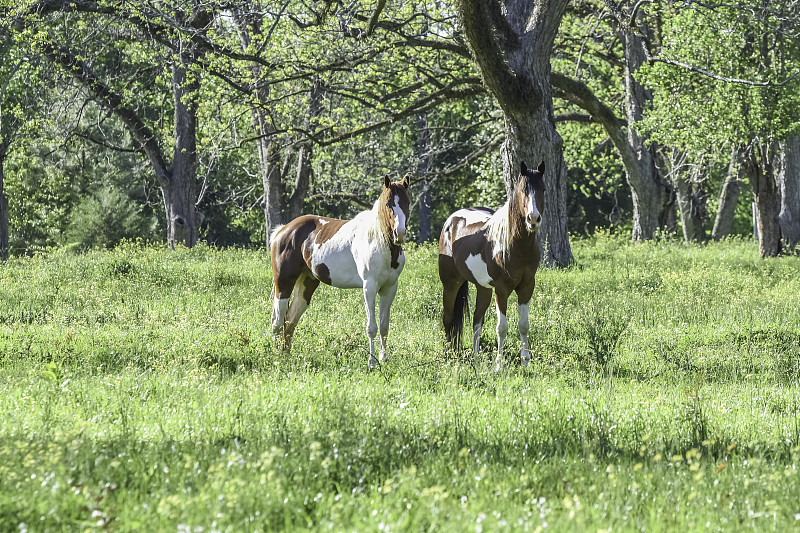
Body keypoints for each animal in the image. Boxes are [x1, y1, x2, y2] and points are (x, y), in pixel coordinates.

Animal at [272, 172, 412, 368]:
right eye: (388, 203)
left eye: (407, 203)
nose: (400, 233)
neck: (378, 241)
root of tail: (282, 231)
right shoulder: (369, 287)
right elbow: (372, 327)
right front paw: (372, 362)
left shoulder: (390, 288)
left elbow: (384, 325)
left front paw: (384, 359)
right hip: (283, 284)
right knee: (277, 321)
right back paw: (275, 356)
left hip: (307, 284)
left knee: (290, 320)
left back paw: (285, 355)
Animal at [438, 162, 544, 370]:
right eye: (523, 191)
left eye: (542, 189)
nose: (533, 219)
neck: (515, 244)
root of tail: (451, 220)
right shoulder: (501, 289)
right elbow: (502, 328)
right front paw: (499, 365)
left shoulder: (527, 287)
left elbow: (523, 324)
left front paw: (526, 362)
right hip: (451, 284)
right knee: (448, 318)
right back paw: (447, 356)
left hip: (483, 288)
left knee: (477, 320)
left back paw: (476, 358)